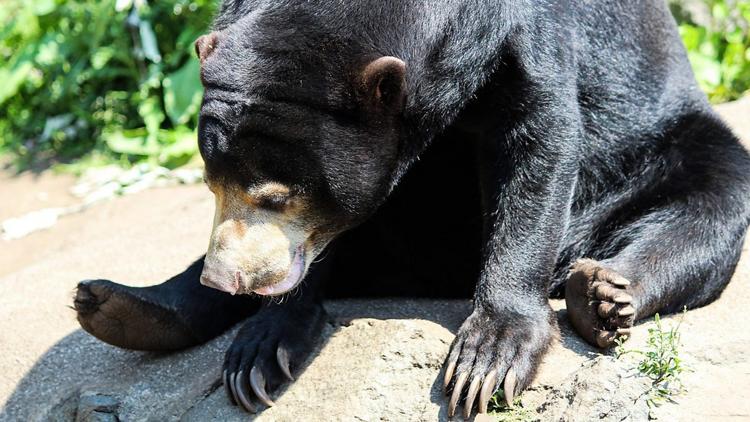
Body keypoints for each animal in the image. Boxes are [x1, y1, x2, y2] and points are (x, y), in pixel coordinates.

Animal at [73, 0, 750, 418]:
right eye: (211, 184)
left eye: (277, 196)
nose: (229, 277)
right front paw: (263, 345)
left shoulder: (524, 38)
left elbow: (540, 137)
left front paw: (487, 361)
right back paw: (121, 306)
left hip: (668, 141)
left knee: (712, 202)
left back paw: (603, 294)